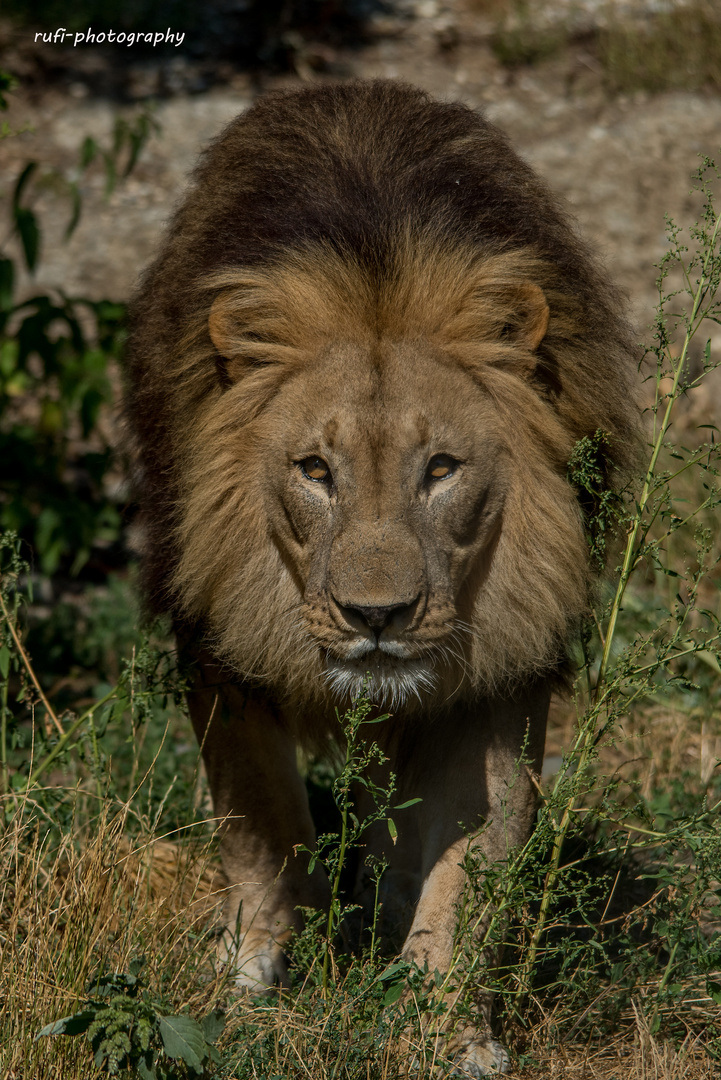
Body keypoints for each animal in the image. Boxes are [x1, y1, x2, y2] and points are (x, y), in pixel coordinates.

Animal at [125, 82, 643, 1071]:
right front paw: (254, 976)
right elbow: (263, 823)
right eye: (314, 471)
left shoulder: (500, 670)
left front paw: (448, 1029)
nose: (377, 615)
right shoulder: (221, 651)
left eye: (438, 469)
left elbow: (469, 863)